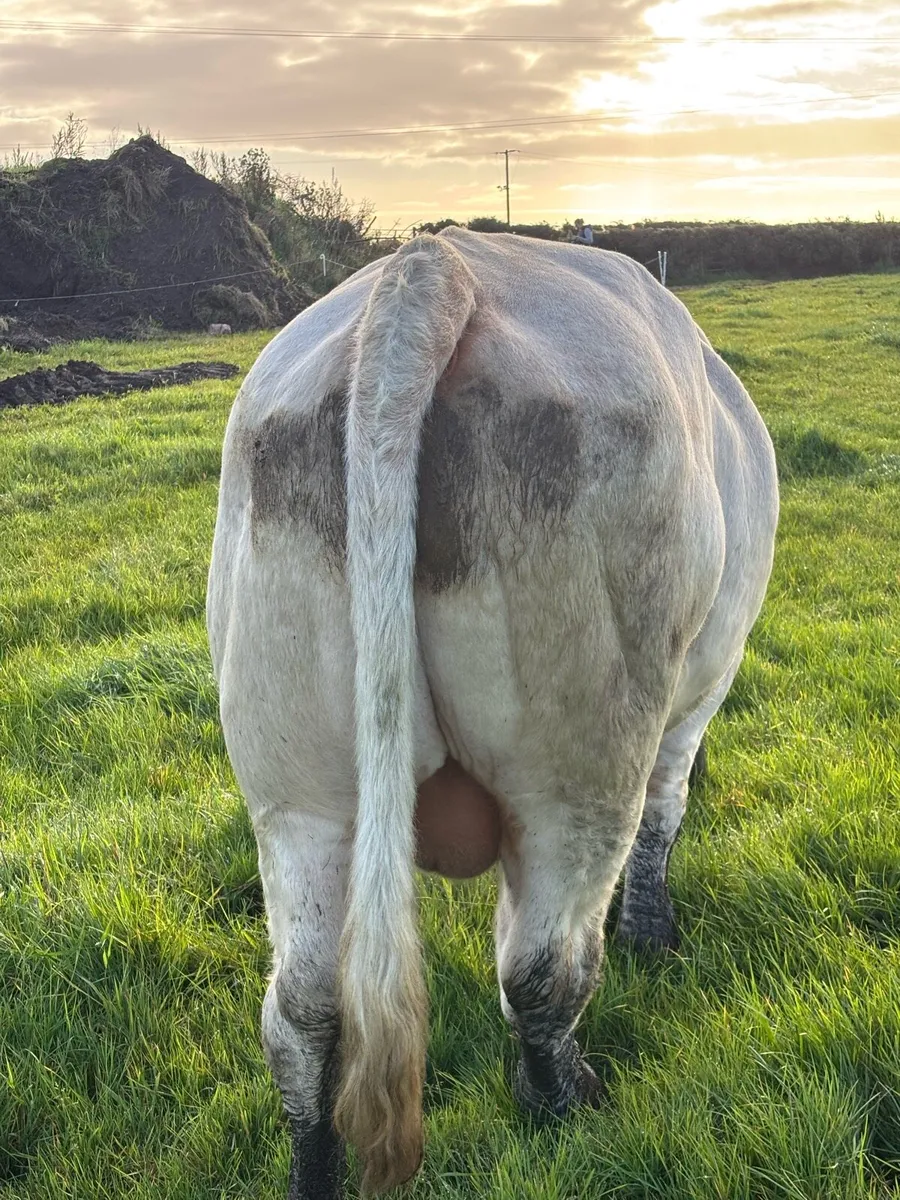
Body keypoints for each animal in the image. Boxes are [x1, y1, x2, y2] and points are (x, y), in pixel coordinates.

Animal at [206, 228, 778, 1198]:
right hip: (580, 765)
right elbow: (664, 816)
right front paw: (651, 935)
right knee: (544, 969)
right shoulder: (700, 687)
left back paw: (316, 1166)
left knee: (305, 1011)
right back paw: (567, 1105)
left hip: (296, 796)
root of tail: (433, 265)